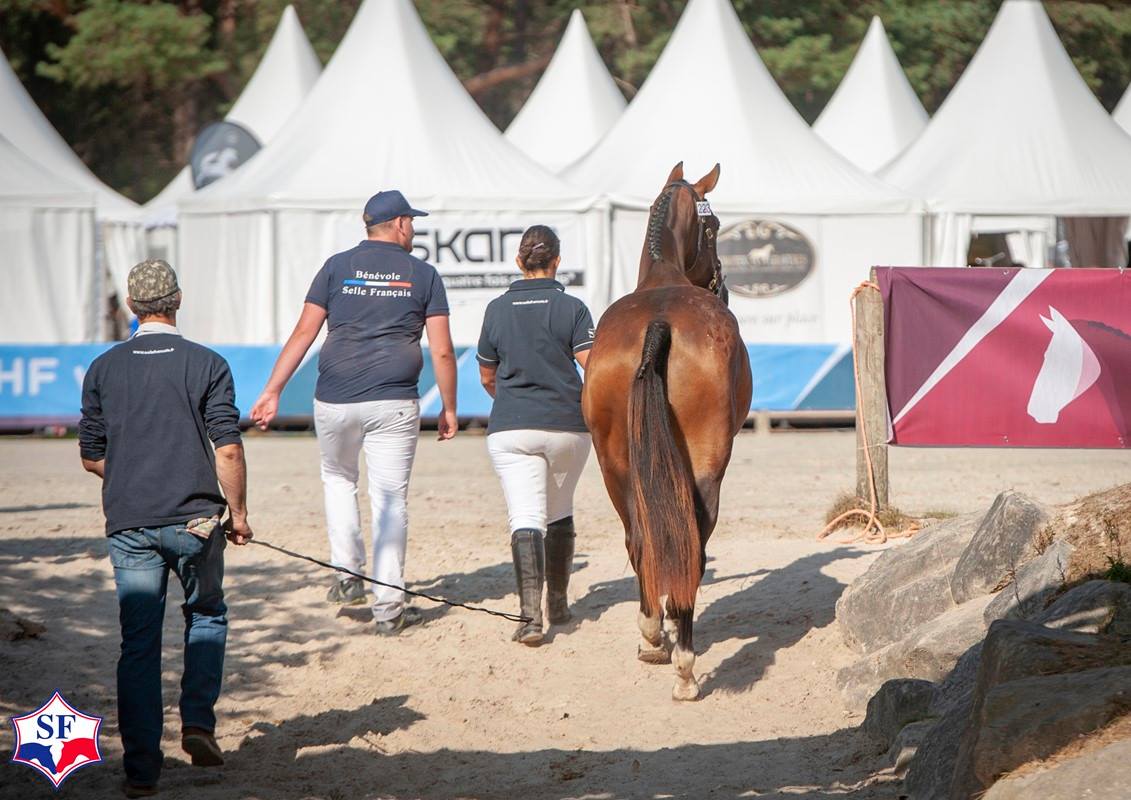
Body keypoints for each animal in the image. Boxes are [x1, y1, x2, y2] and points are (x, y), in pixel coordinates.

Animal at [581, 162, 753, 700]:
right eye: (713, 226)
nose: (723, 283)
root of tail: (659, 325)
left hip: (613, 466)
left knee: (640, 542)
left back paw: (653, 636)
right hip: (706, 465)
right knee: (690, 544)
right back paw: (684, 665)